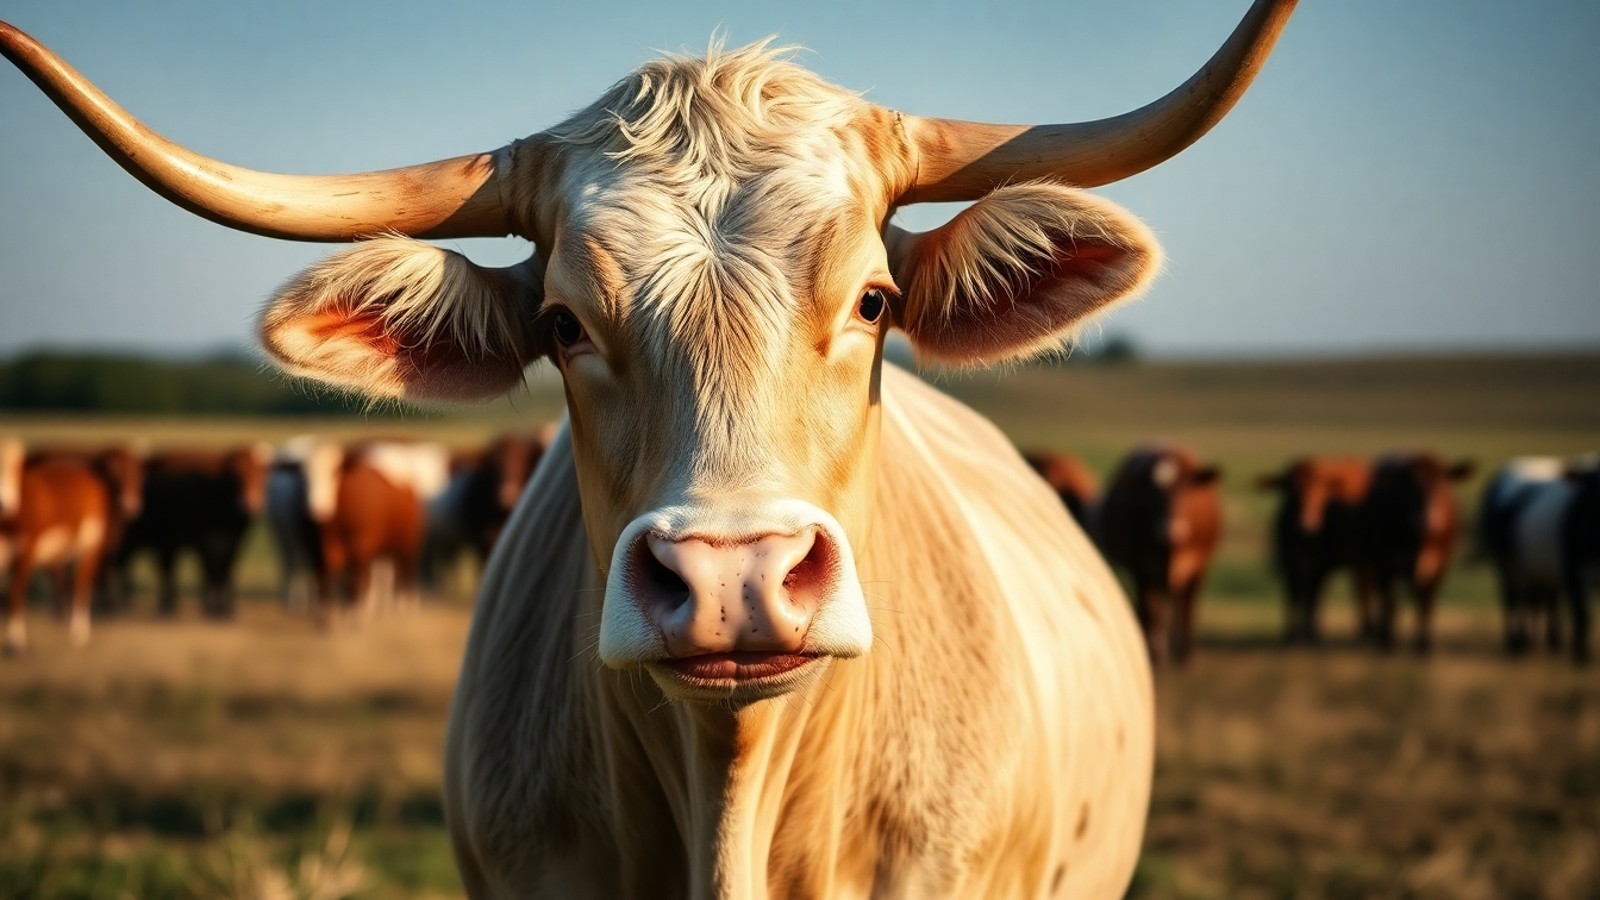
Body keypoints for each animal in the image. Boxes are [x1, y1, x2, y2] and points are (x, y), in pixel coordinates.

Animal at [108, 444, 271, 617]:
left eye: (262, 473)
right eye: (236, 474)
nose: (252, 502)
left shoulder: (235, 542)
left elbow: (226, 570)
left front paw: (226, 608)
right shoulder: (203, 541)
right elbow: (209, 570)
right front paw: (212, 607)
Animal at [1097, 445, 1223, 667]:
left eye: (1186, 489)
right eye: (1150, 495)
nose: (1169, 530)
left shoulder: (1200, 566)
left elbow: (1188, 607)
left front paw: (1188, 654)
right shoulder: (1142, 566)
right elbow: (1153, 609)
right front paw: (1156, 654)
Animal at [1257, 456, 1373, 644]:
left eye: (1322, 492)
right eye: (1291, 490)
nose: (1307, 524)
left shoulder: (1320, 567)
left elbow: (1312, 597)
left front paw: (1311, 634)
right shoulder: (1289, 564)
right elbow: (1293, 596)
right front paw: (1290, 634)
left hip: (1364, 562)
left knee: (1363, 589)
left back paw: (1368, 630)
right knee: (1361, 588)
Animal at [1360, 451, 1474, 654]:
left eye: (1441, 485)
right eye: (1410, 488)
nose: (1426, 518)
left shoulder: (1439, 565)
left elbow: (1426, 603)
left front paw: (1424, 643)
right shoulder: (1384, 561)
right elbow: (1389, 600)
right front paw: (1385, 639)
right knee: (1385, 598)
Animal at [1479, 456, 1600, 662]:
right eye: (1591, 486)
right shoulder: (1573, 572)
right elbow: (1582, 615)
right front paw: (1580, 656)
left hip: (1537, 571)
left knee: (1538, 601)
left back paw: (1547, 640)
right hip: (1509, 566)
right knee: (1513, 600)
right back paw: (1516, 642)